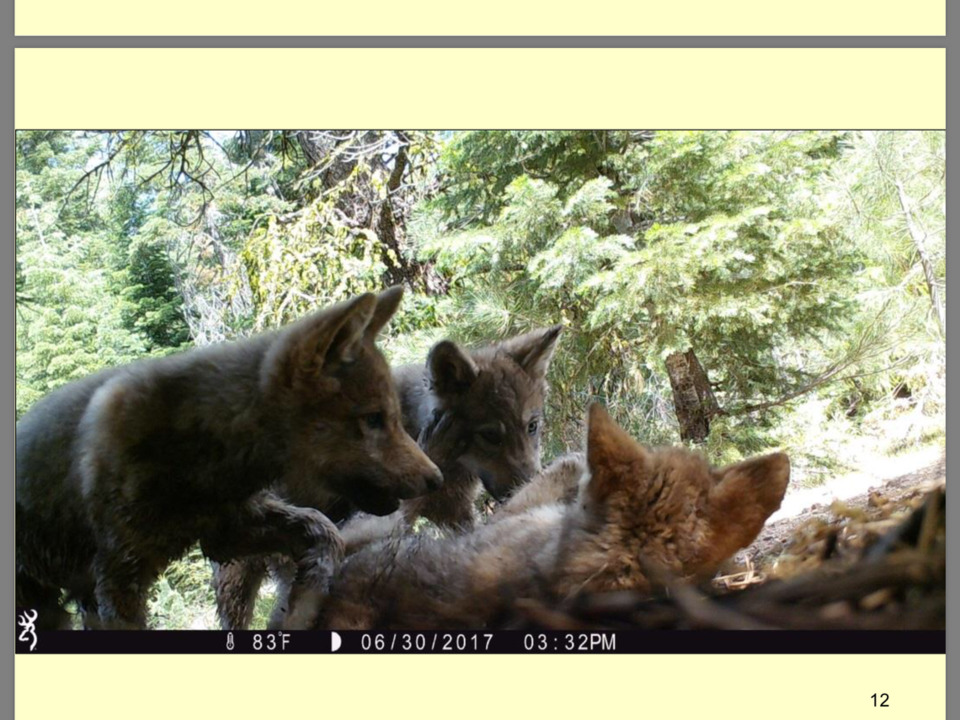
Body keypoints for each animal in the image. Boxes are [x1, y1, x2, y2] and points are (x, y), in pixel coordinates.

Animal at [15, 286, 442, 630]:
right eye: (373, 419)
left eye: (394, 417)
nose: (436, 479)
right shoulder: (120, 575)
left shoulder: (228, 532)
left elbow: (325, 534)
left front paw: (300, 605)